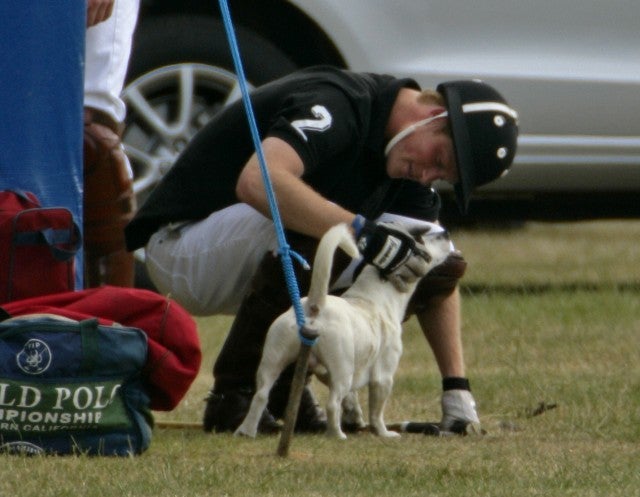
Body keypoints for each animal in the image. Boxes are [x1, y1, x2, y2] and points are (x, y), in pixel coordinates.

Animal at [235, 221, 453, 439]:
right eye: (422, 247)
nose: (446, 232)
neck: (374, 297)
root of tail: (315, 306)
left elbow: (351, 400)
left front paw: (355, 420)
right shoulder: (383, 378)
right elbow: (376, 414)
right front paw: (384, 433)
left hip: (272, 362)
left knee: (260, 396)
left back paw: (246, 431)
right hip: (342, 369)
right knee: (332, 404)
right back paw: (337, 435)